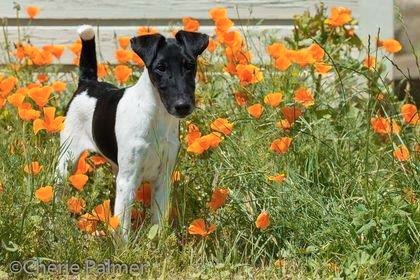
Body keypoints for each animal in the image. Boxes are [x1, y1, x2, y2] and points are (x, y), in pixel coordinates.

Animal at [58, 25, 209, 237]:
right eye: (160, 67)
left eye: (189, 65)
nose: (183, 106)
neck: (156, 116)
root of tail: (87, 83)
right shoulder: (128, 181)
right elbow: (123, 226)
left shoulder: (163, 177)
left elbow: (158, 220)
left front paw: (158, 240)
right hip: (67, 158)